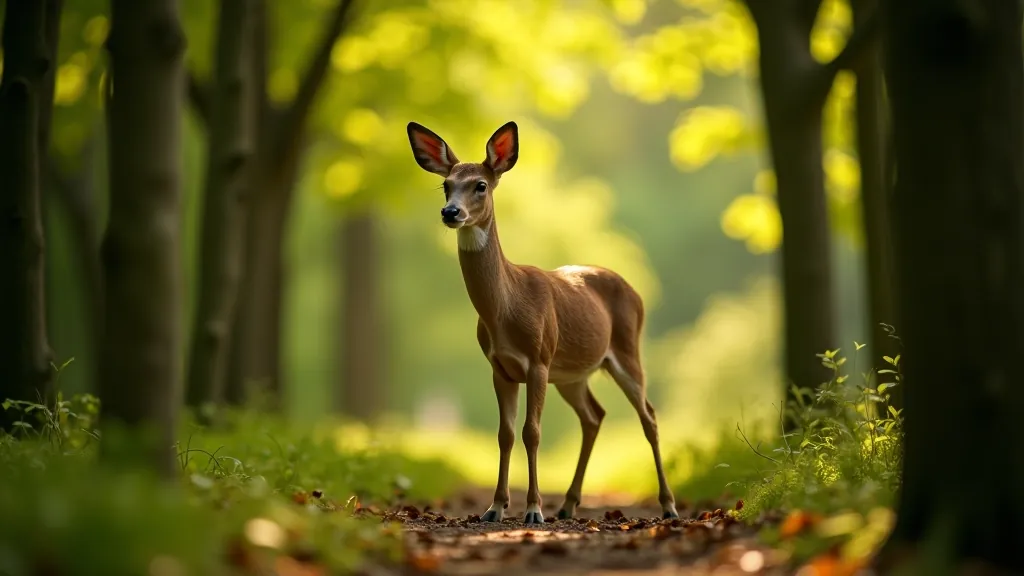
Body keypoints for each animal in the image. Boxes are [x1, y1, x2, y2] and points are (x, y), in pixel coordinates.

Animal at [406, 120, 679, 524]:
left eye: (480, 185)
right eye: (445, 184)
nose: (450, 212)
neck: (505, 309)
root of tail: (634, 290)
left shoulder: (538, 358)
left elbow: (531, 432)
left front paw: (533, 510)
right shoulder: (500, 367)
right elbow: (504, 433)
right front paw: (494, 508)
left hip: (626, 351)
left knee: (649, 417)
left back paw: (668, 506)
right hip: (571, 374)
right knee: (594, 416)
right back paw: (567, 504)